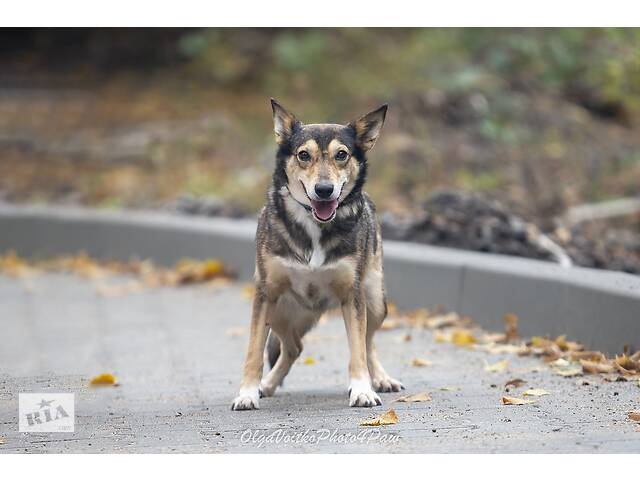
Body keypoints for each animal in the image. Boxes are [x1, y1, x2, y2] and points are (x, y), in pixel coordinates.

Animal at [230, 99, 402, 410]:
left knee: (368, 341)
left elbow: (358, 350)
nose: (324, 190)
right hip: (279, 313)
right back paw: (267, 385)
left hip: (375, 301)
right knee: (294, 347)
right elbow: (253, 352)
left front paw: (362, 390)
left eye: (342, 154)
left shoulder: (352, 295)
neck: (314, 225)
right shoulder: (264, 294)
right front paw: (247, 392)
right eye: (303, 155)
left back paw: (381, 379)